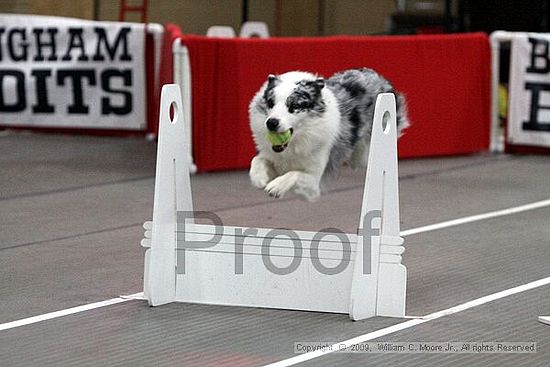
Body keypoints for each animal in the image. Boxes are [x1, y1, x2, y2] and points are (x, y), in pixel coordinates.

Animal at [250, 67, 410, 203]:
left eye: (295, 105)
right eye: (270, 102)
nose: (271, 123)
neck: (298, 141)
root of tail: (376, 75)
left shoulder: (313, 184)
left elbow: (295, 174)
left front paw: (276, 186)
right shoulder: (275, 158)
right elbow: (257, 160)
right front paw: (258, 177)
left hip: (366, 152)